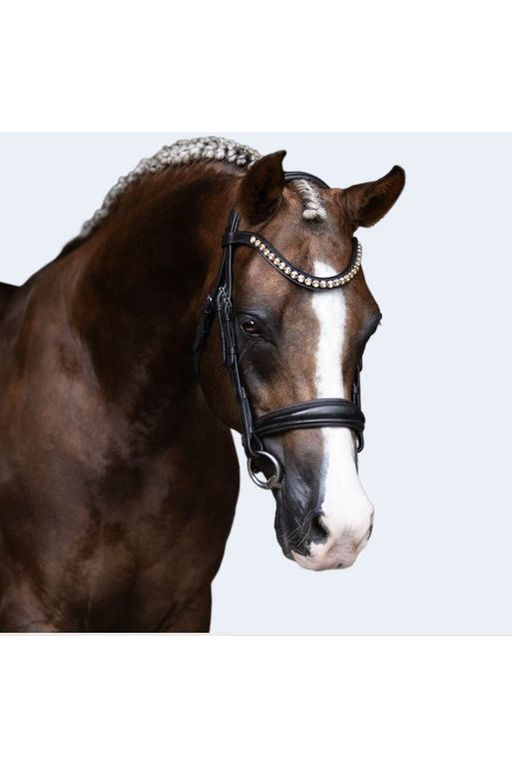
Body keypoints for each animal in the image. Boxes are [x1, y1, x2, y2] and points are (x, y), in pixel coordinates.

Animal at [0, 137, 405, 632]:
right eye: (249, 324)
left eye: (370, 326)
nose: (343, 525)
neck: (128, 437)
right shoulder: (33, 615)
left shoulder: (187, 608)